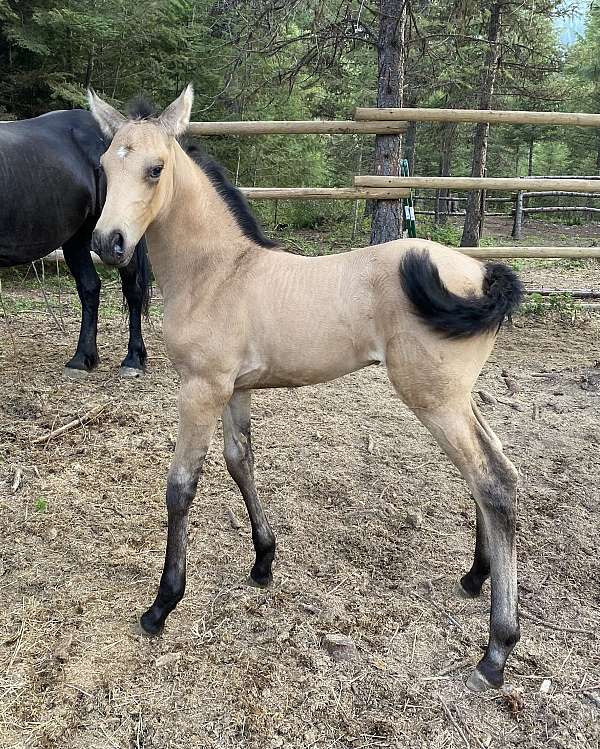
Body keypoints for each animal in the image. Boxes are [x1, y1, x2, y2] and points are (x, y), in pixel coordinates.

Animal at [0, 108, 150, 376]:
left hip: (119, 240)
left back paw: (133, 360)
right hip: (77, 237)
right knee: (90, 287)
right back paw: (82, 359)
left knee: (133, 289)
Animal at [86, 86, 524, 688]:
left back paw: (496, 650)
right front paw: (263, 560)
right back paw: (475, 576)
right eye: (105, 165)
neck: (220, 273)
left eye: (156, 169)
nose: (108, 244)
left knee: (493, 482)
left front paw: (162, 604)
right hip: (457, 397)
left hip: (435, 398)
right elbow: (240, 461)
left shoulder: (200, 389)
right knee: (492, 470)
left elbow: (180, 487)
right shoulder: (235, 389)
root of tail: (482, 276)